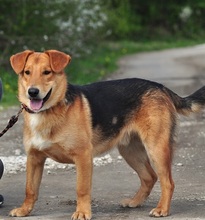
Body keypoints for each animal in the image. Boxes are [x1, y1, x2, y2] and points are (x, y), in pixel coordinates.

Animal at [0, 50, 204, 220]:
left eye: (47, 72)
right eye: (27, 72)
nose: (32, 92)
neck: (49, 112)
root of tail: (161, 87)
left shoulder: (83, 156)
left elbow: (82, 189)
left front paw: (82, 212)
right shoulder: (34, 158)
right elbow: (30, 189)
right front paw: (25, 210)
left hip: (156, 149)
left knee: (168, 182)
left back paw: (162, 209)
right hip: (130, 152)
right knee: (149, 177)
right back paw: (135, 202)